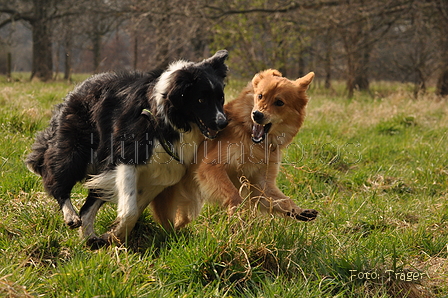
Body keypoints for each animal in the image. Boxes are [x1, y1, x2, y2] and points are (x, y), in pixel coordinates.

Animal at [27, 50, 229, 247]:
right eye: (201, 99)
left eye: (221, 98)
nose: (223, 123)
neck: (169, 119)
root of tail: (76, 89)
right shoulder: (127, 156)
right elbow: (130, 209)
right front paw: (117, 234)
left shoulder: (163, 172)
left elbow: (136, 208)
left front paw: (113, 236)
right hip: (76, 147)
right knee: (58, 178)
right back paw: (71, 216)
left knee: (87, 207)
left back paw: (90, 238)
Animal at [150, 69, 316, 230]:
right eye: (260, 96)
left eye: (279, 102)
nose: (257, 114)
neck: (251, 139)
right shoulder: (210, 167)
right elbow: (234, 194)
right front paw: (239, 212)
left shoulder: (261, 184)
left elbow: (282, 200)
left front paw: (299, 211)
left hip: (189, 207)